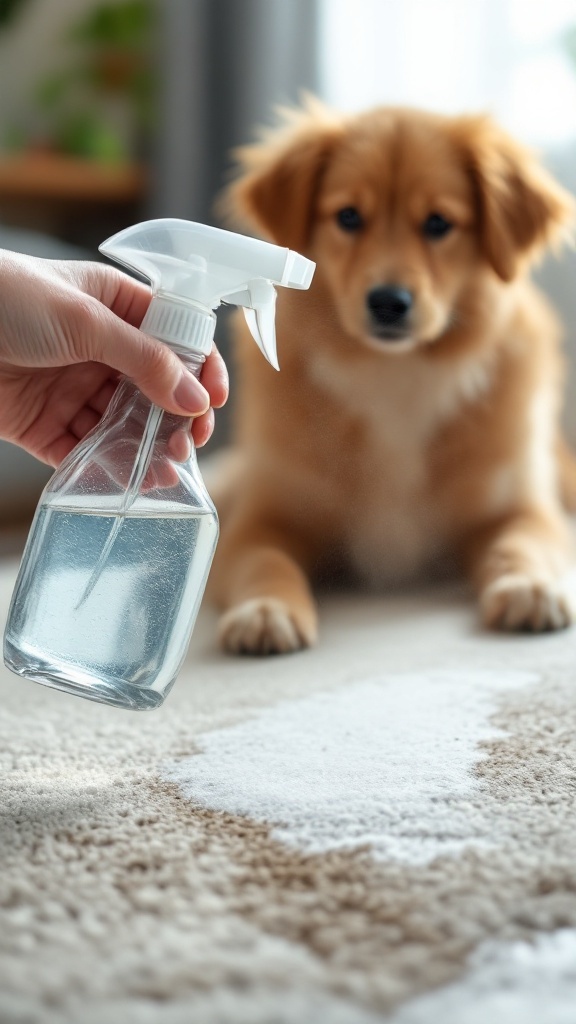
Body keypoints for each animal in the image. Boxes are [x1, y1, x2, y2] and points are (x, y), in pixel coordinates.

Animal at [206, 99, 573, 651]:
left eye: (439, 223)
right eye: (348, 217)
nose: (387, 303)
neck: (394, 371)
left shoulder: (518, 508)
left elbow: (521, 544)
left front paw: (528, 586)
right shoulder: (263, 519)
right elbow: (264, 563)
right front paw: (265, 609)